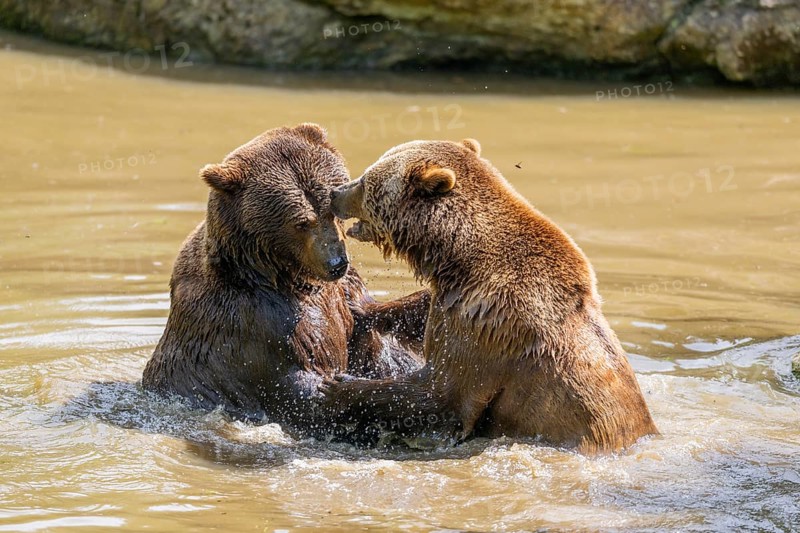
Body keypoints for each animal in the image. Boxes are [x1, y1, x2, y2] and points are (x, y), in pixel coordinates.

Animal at [141, 123, 429, 439]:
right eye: (301, 222)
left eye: (331, 210)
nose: (336, 263)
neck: (282, 276)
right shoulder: (256, 322)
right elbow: (299, 382)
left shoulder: (343, 294)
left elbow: (375, 329)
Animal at [323, 138, 659, 454]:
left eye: (366, 181)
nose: (335, 193)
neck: (458, 258)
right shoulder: (454, 300)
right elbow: (419, 312)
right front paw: (361, 306)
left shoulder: (488, 323)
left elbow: (440, 392)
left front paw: (337, 387)